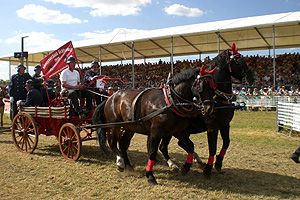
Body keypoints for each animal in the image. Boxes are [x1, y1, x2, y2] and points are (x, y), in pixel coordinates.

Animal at [158, 43, 254, 180]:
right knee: (164, 147)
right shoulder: (212, 126)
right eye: (238, 61)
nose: (251, 78)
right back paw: (173, 163)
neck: (219, 97)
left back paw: (196, 159)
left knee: (181, 144)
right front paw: (208, 169)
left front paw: (218, 163)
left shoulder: (225, 125)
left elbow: (226, 143)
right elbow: (212, 148)